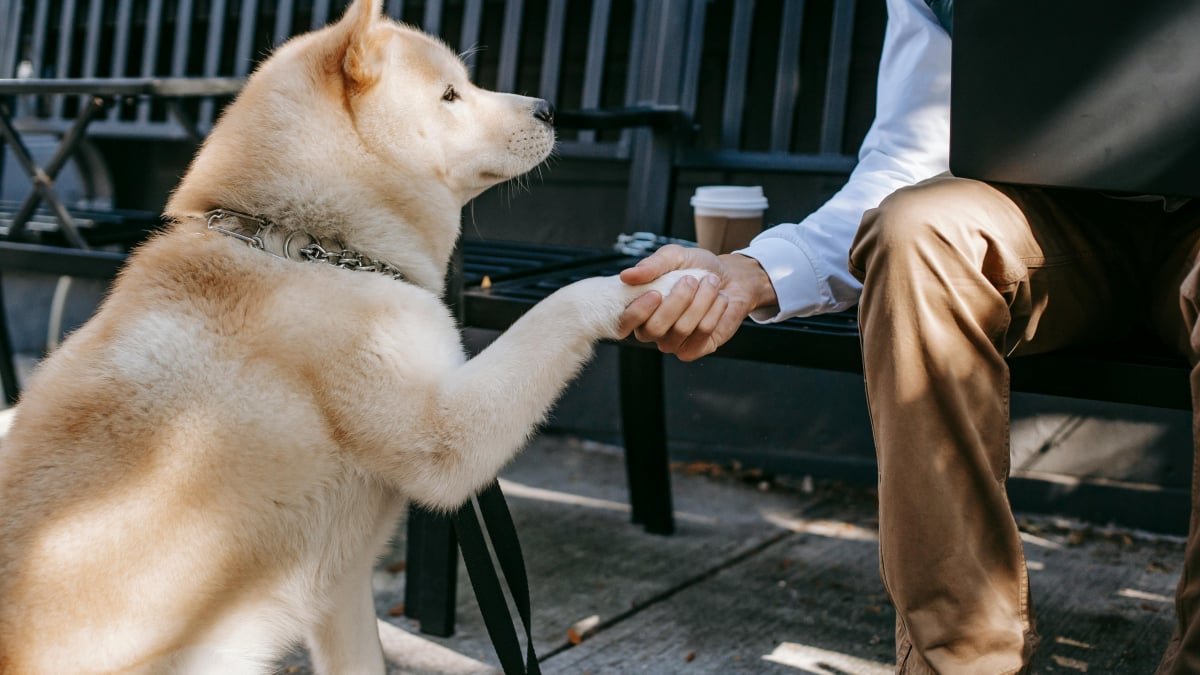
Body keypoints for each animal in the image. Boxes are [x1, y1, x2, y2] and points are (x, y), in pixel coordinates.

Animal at [0, 2, 700, 667]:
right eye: (451, 94)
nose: (550, 109)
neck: (309, 249)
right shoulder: (446, 439)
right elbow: (560, 305)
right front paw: (670, 279)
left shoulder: (339, 589)